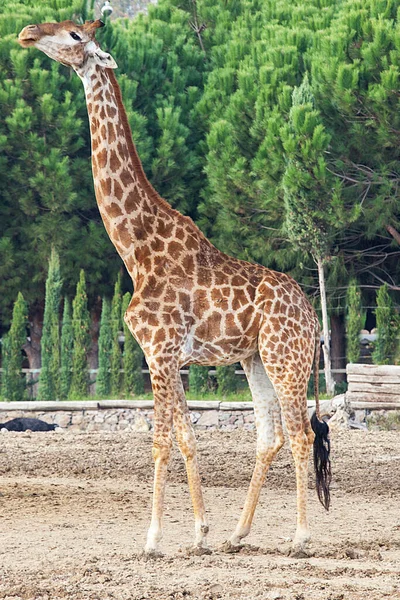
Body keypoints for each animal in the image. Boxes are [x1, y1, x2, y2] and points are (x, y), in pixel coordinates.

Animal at [18, 19, 332, 556]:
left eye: (76, 35)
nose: (27, 31)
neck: (137, 250)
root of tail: (312, 315)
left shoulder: (158, 351)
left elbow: (162, 438)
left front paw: (153, 537)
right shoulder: (166, 356)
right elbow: (187, 436)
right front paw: (201, 532)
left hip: (285, 358)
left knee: (299, 434)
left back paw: (300, 537)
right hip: (253, 359)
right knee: (268, 434)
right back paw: (237, 534)